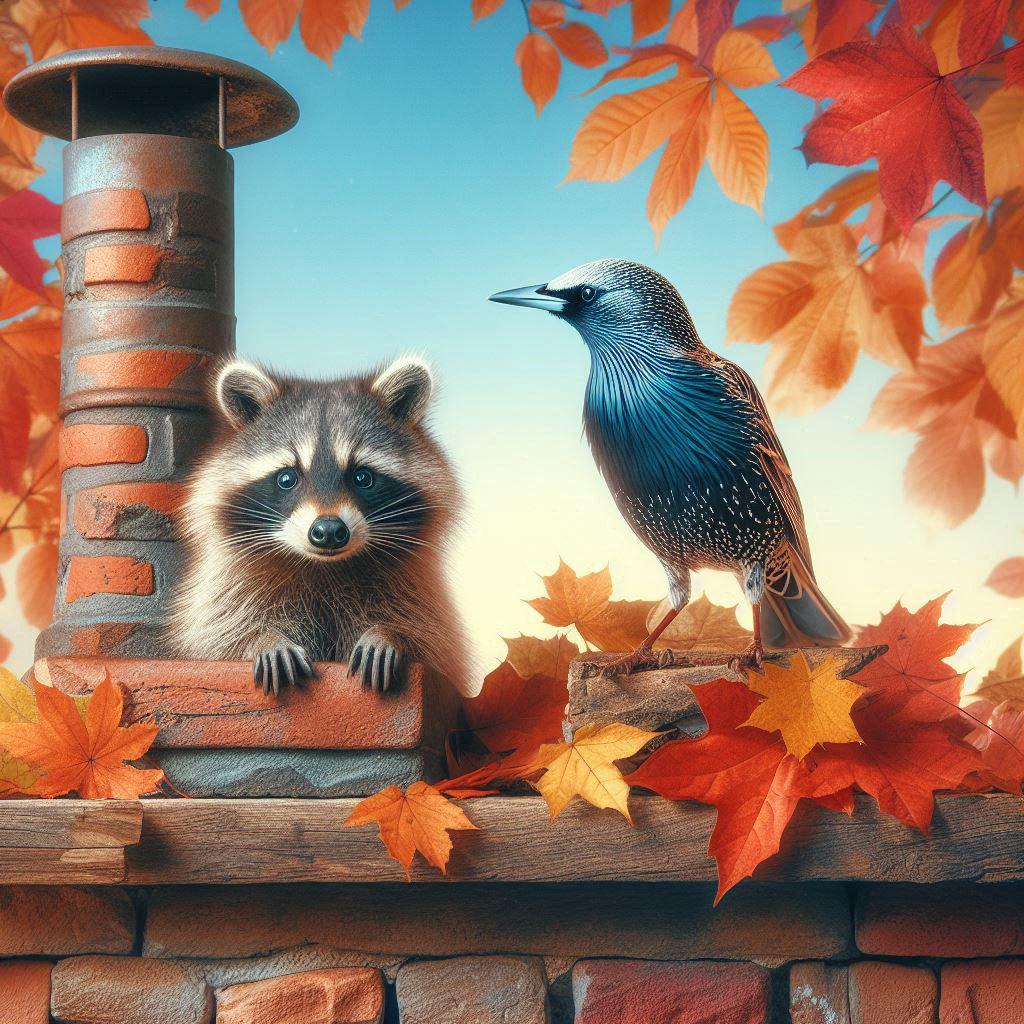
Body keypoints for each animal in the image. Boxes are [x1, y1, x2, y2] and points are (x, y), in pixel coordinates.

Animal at [166, 356, 470, 697]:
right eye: (287, 478)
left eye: (362, 477)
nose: (328, 531)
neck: (323, 566)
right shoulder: (230, 588)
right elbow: (219, 635)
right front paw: (265, 639)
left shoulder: (416, 589)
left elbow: (430, 637)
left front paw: (388, 634)